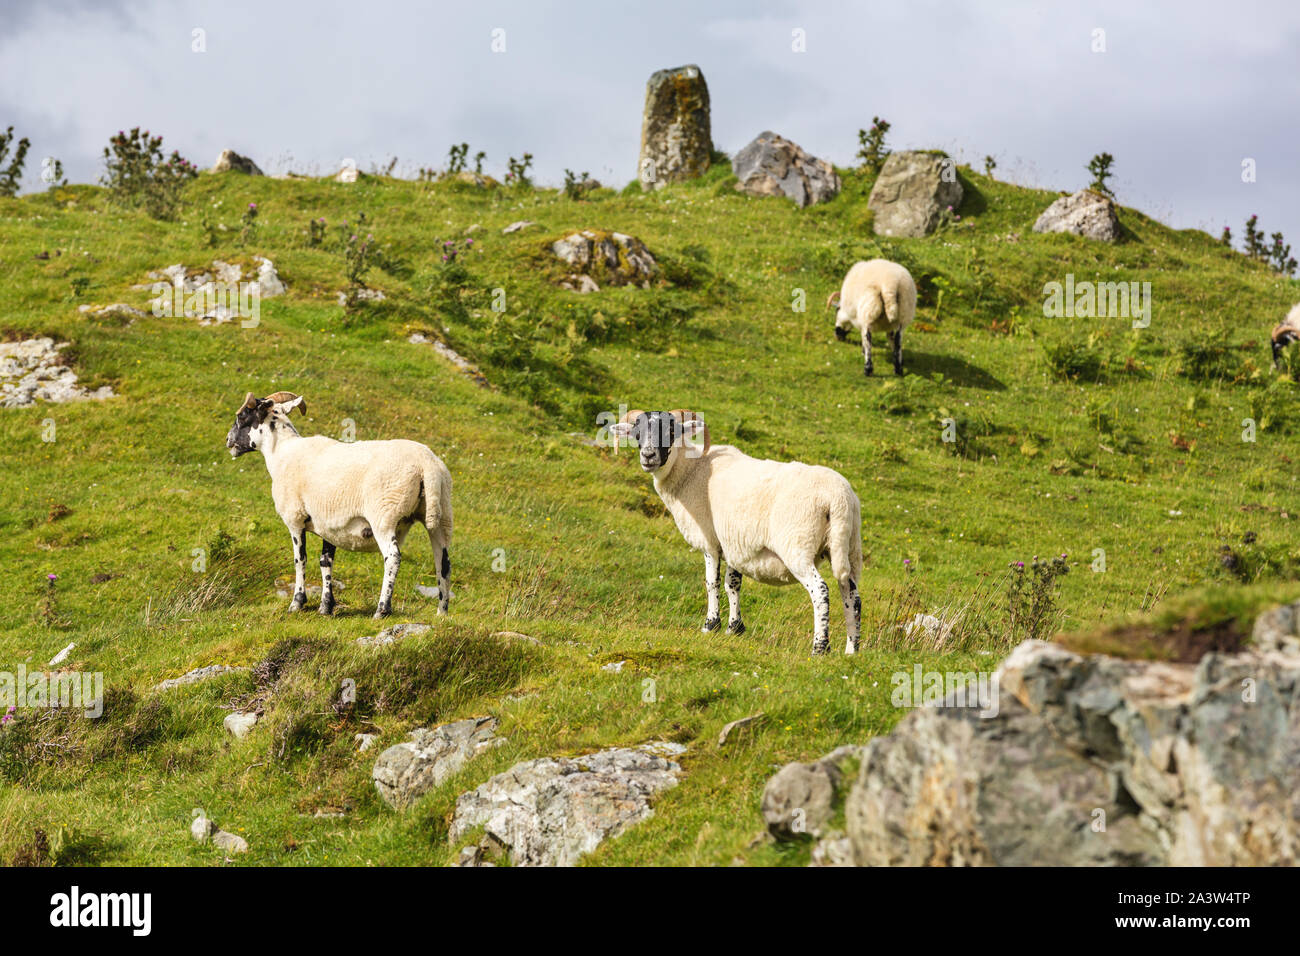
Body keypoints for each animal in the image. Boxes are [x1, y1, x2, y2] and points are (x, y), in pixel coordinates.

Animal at [220, 390, 449, 621]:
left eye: (241, 416)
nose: (228, 440)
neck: (282, 453)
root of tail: (426, 464)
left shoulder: (295, 519)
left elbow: (300, 559)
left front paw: (297, 603)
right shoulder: (329, 524)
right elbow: (325, 562)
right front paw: (326, 607)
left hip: (384, 516)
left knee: (393, 557)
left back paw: (382, 609)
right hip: (443, 515)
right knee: (443, 561)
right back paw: (442, 612)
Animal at [608, 408, 863, 655]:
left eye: (671, 431)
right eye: (636, 433)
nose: (648, 456)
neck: (691, 470)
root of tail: (838, 498)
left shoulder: (710, 540)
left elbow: (712, 582)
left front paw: (710, 625)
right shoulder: (734, 543)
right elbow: (732, 584)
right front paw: (734, 628)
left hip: (798, 547)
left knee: (821, 592)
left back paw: (819, 648)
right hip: (848, 547)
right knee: (852, 596)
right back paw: (851, 650)